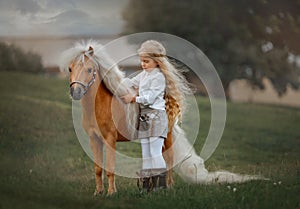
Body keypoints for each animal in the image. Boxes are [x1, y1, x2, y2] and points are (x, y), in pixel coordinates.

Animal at [61, 41, 173, 195]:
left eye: (89, 70)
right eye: (70, 68)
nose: (76, 92)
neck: (100, 106)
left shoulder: (110, 139)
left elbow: (110, 168)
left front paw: (111, 192)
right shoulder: (94, 138)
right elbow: (98, 168)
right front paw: (98, 192)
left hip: (168, 136)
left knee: (170, 159)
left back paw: (169, 186)